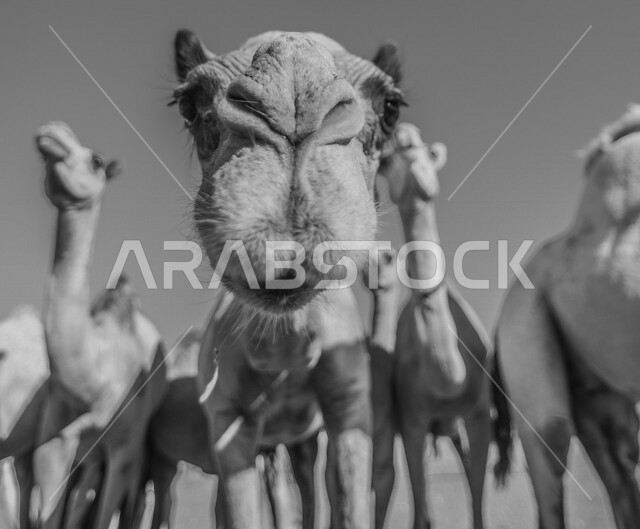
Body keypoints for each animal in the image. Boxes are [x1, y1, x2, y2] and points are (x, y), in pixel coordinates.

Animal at [34, 122, 168, 529]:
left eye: (95, 161)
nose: (51, 133)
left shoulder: (123, 449)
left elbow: (105, 511)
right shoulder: (53, 441)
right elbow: (48, 512)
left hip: (137, 453)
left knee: (134, 502)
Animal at [171, 29, 405, 529]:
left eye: (391, 106)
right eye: (189, 103)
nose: (294, 104)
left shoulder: (349, 403)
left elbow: (348, 503)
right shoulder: (227, 419)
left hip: (300, 439)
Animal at [374, 123, 509, 529]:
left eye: (428, 153)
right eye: (387, 161)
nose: (403, 133)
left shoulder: (480, 415)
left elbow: (477, 501)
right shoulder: (412, 420)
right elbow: (422, 513)